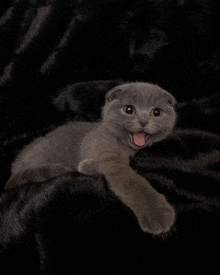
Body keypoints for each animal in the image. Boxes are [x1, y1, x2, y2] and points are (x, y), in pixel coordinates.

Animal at [5, 82, 177, 235]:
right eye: (129, 109)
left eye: (156, 112)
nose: (143, 121)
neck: (126, 146)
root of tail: (14, 168)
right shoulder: (110, 158)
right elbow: (133, 183)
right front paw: (158, 214)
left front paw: (87, 166)